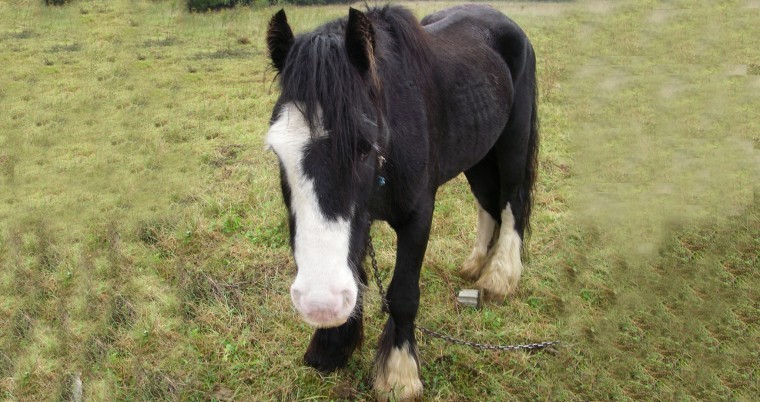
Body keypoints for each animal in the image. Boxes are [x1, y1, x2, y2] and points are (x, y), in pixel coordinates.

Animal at [264, 5, 536, 398]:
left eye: (364, 147)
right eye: (276, 151)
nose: (320, 304)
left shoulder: (418, 215)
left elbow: (403, 294)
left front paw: (399, 376)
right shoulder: (360, 217)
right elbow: (358, 275)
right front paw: (332, 347)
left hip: (512, 141)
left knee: (511, 201)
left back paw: (499, 278)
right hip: (477, 151)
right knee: (487, 200)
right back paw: (475, 266)